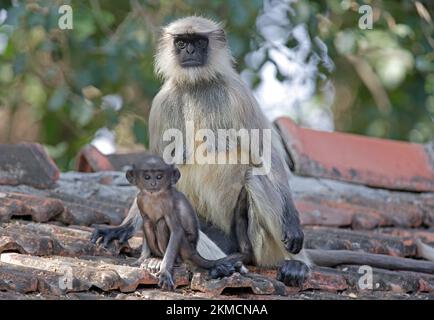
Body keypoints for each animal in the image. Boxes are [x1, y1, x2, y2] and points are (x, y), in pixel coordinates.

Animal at [126, 155, 244, 290]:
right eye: (147, 177)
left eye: (159, 176)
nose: (153, 183)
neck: (154, 197)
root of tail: (193, 250)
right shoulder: (140, 200)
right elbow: (145, 221)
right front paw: (142, 258)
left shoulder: (169, 203)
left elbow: (176, 230)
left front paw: (165, 272)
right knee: (149, 223)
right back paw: (156, 258)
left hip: (184, 246)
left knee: (161, 223)